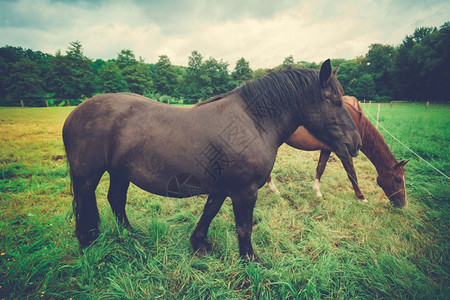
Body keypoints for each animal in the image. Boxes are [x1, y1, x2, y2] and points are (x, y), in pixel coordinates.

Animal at [62, 59, 362, 258]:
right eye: (335, 101)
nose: (355, 143)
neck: (252, 122)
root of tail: (75, 113)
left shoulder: (223, 187)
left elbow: (209, 212)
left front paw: (199, 245)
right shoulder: (244, 191)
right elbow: (244, 228)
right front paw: (250, 260)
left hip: (119, 172)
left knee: (116, 201)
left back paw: (132, 236)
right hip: (87, 177)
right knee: (86, 205)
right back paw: (88, 244)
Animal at [266, 95, 410, 206]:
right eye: (398, 179)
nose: (402, 204)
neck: (355, 123)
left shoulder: (327, 150)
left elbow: (320, 168)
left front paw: (317, 192)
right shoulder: (345, 152)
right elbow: (352, 174)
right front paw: (362, 197)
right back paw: (274, 190)